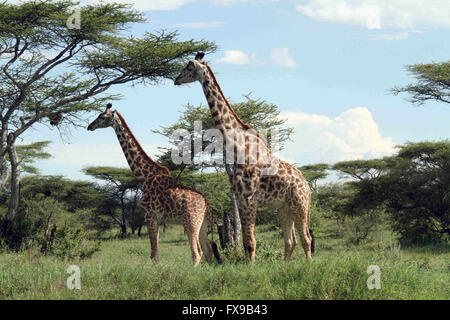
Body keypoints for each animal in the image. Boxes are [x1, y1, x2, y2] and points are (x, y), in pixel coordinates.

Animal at [87, 104, 221, 266]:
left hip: (190, 221)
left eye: (102, 116)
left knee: (197, 252)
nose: (89, 126)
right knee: (208, 252)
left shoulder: (149, 214)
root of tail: (207, 204)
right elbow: (156, 251)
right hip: (203, 223)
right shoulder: (157, 217)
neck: (145, 177)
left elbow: (153, 252)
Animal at [174, 53, 314, 262]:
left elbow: (250, 242)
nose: (176, 79)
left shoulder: (249, 198)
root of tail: (307, 185)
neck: (236, 145)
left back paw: (309, 265)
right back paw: (286, 264)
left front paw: (251, 268)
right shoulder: (240, 198)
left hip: (299, 203)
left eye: (189, 67)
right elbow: (247, 242)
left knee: (306, 238)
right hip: (283, 207)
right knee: (291, 240)